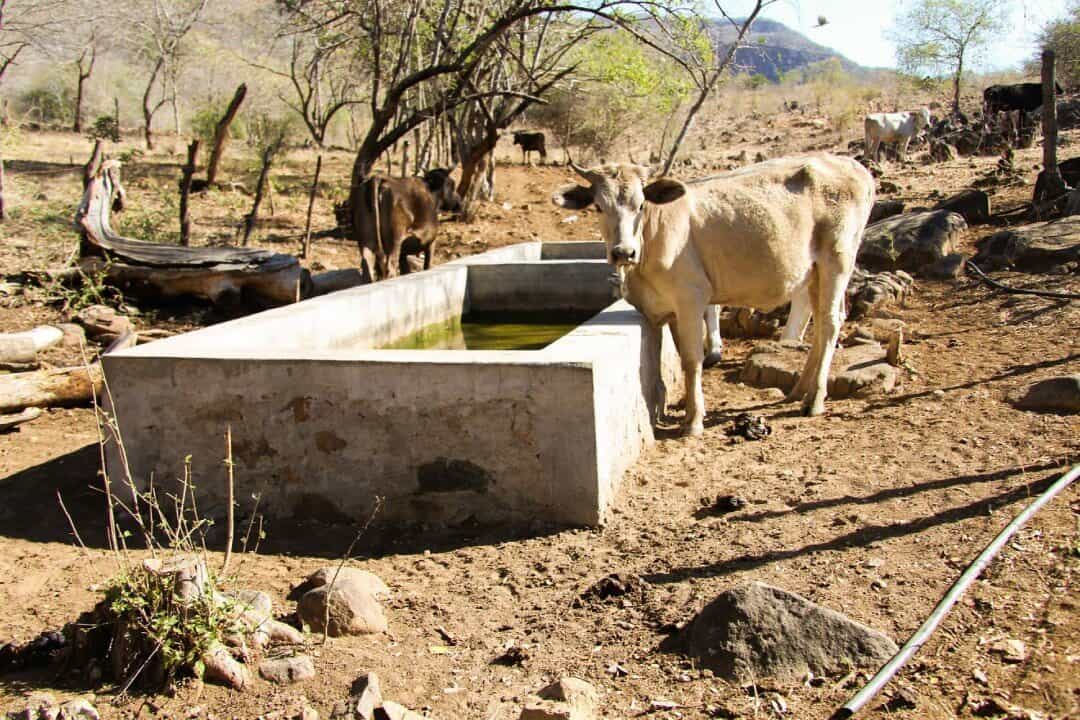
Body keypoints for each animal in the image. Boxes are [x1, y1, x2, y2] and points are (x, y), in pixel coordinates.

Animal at [552, 155, 872, 436]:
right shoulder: (668, 310)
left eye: (641, 204)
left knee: (830, 323)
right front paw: (689, 407)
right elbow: (681, 357)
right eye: (598, 207)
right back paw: (798, 390)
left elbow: (692, 359)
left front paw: (694, 420)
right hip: (815, 271)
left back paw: (813, 400)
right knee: (820, 319)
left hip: (837, 259)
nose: (622, 252)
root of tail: (852, 165)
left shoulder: (691, 298)